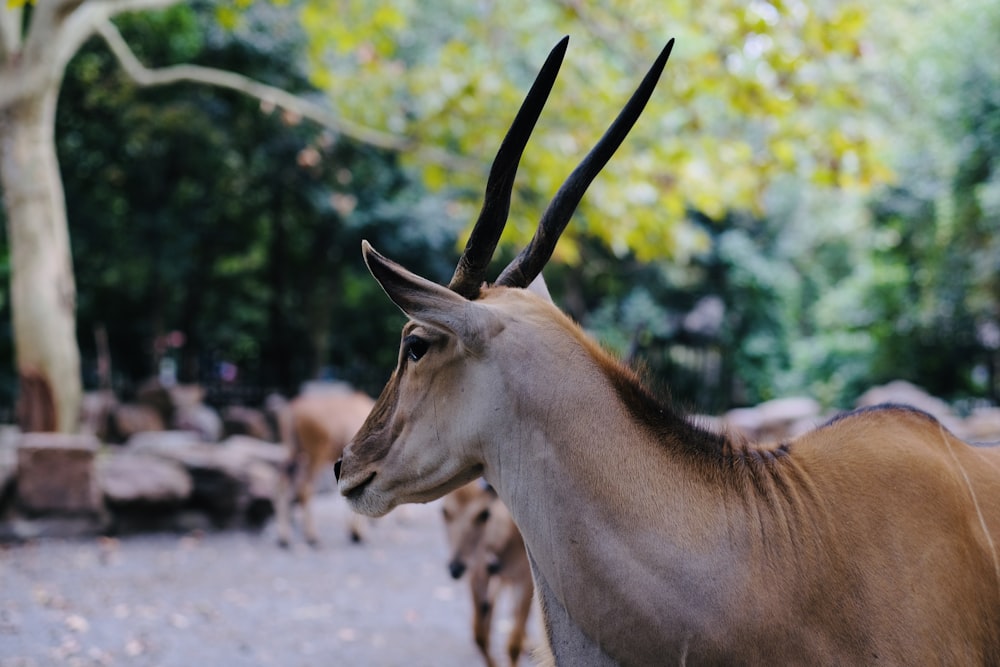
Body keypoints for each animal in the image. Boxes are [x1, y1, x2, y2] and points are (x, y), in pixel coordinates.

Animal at [274, 386, 376, 548]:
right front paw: (357, 533)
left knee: (282, 480)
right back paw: (312, 536)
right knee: (304, 488)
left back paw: (283, 537)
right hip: (315, 455)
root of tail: (291, 411)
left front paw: (354, 531)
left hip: (292, 450)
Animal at [444, 482, 536, 664]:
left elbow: (513, 645)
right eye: (444, 512)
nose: (455, 568)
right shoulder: (477, 576)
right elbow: (480, 635)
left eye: (484, 514)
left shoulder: (525, 579)